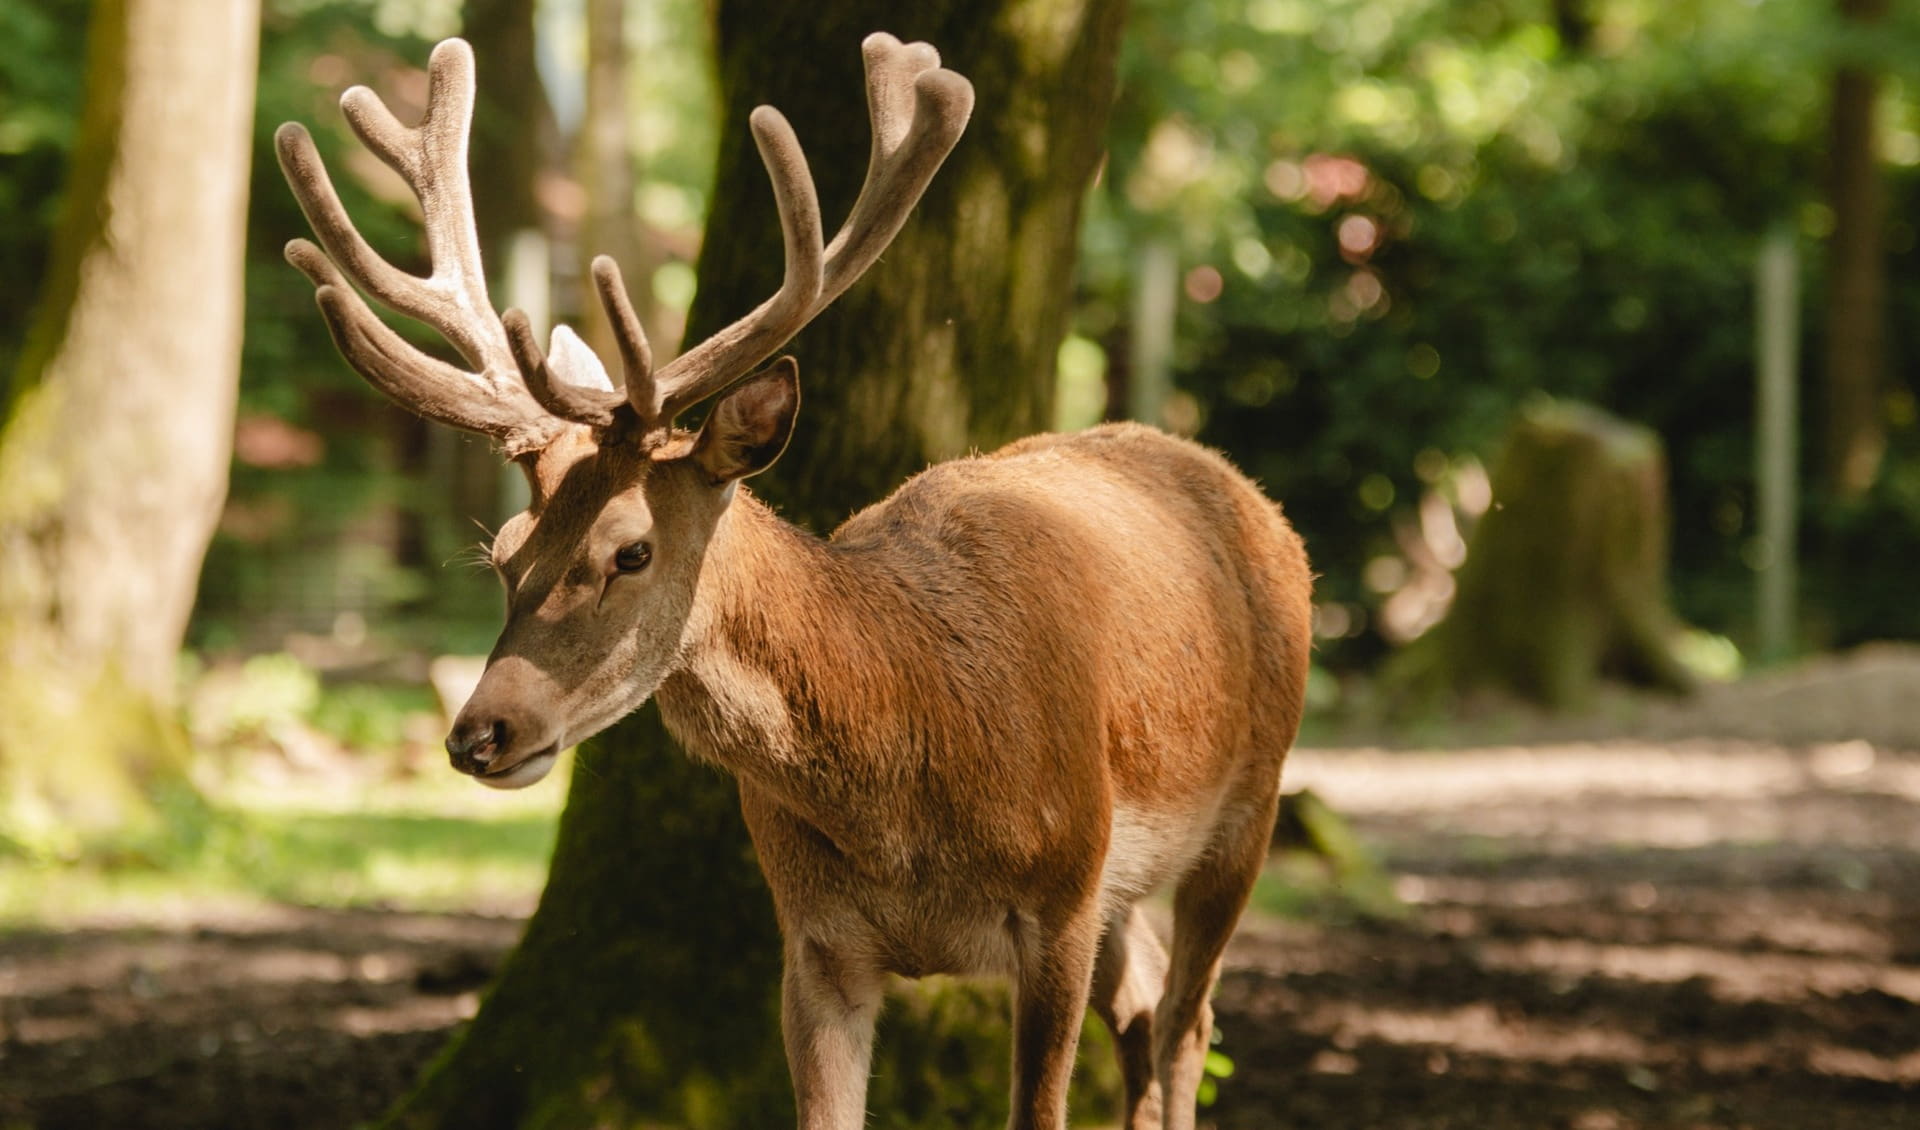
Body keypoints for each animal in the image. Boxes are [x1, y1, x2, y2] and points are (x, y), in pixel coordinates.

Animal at [278, 30, 1313, 1128]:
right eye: (505, 551)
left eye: (631, 548)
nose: (480, 733)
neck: (910, 800)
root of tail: (1244, 491)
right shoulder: (815, 939)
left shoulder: (1061, 893)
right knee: (1147, 1000)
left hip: (1245, 800)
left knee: (1186, 1017)